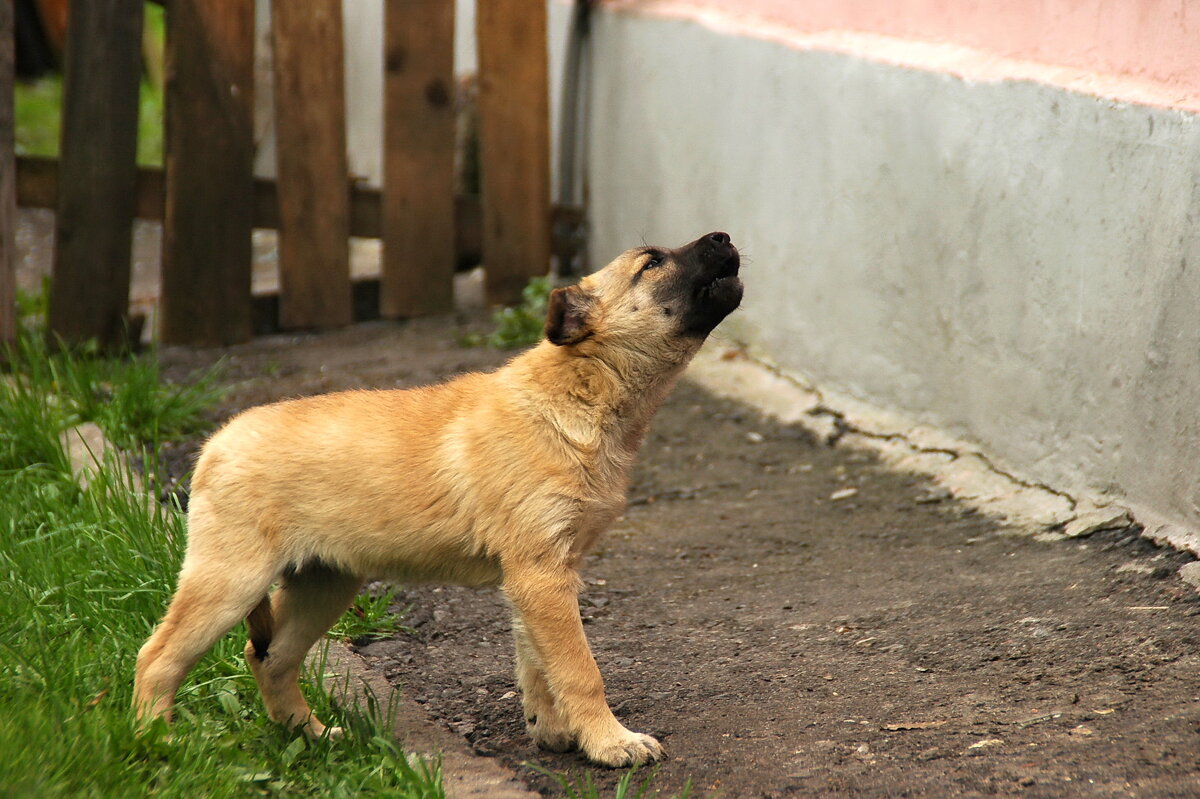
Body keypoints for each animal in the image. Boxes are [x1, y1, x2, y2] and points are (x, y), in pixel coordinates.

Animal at [136, 230, 744, 767]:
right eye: (651, 263)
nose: (724, 236)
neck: (578, 389)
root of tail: (217, 442)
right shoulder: (541, 574)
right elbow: (578, 668)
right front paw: (610, 742)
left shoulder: (540, 578)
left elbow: (538, 662)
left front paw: (554, 731)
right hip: (231, 580)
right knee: (157, 657)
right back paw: (157, 742)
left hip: (324, 583)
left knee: (270, 659)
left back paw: (311, 735)